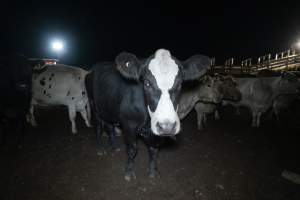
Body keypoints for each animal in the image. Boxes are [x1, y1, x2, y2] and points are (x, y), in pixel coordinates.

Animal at [85, 49, 210, 180]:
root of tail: (94, 68)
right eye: (147, 83)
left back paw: (114, 147)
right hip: (93, 105)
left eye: (180, 84)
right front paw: (129, 172)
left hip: (108, 108)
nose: (167, 127)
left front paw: (153, 171)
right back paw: (100, 149)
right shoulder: (128, 124)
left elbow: (154, 149)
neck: (147, 120)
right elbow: (132, 148)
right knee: (98, 128)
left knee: (109, 127)